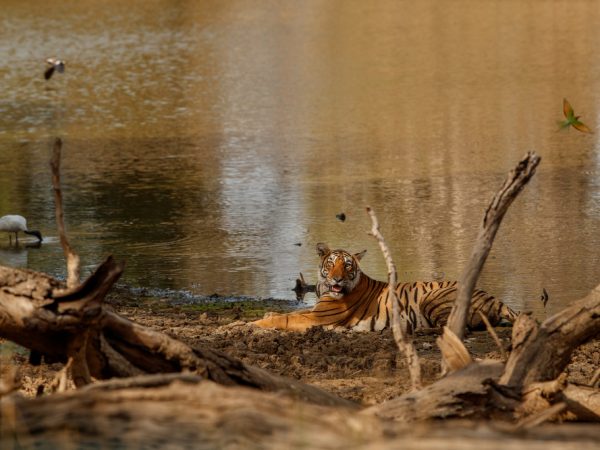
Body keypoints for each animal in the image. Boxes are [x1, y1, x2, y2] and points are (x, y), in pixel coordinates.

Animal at [251, 243, 516, 334]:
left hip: (431, 298)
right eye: (331, 263)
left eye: (347, 265)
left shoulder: (318, 317)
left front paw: (255, 322)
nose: (337, 279)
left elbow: (286, 319)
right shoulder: (314, 312)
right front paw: (268, 313)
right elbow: (291, 312)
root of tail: (496, 299)